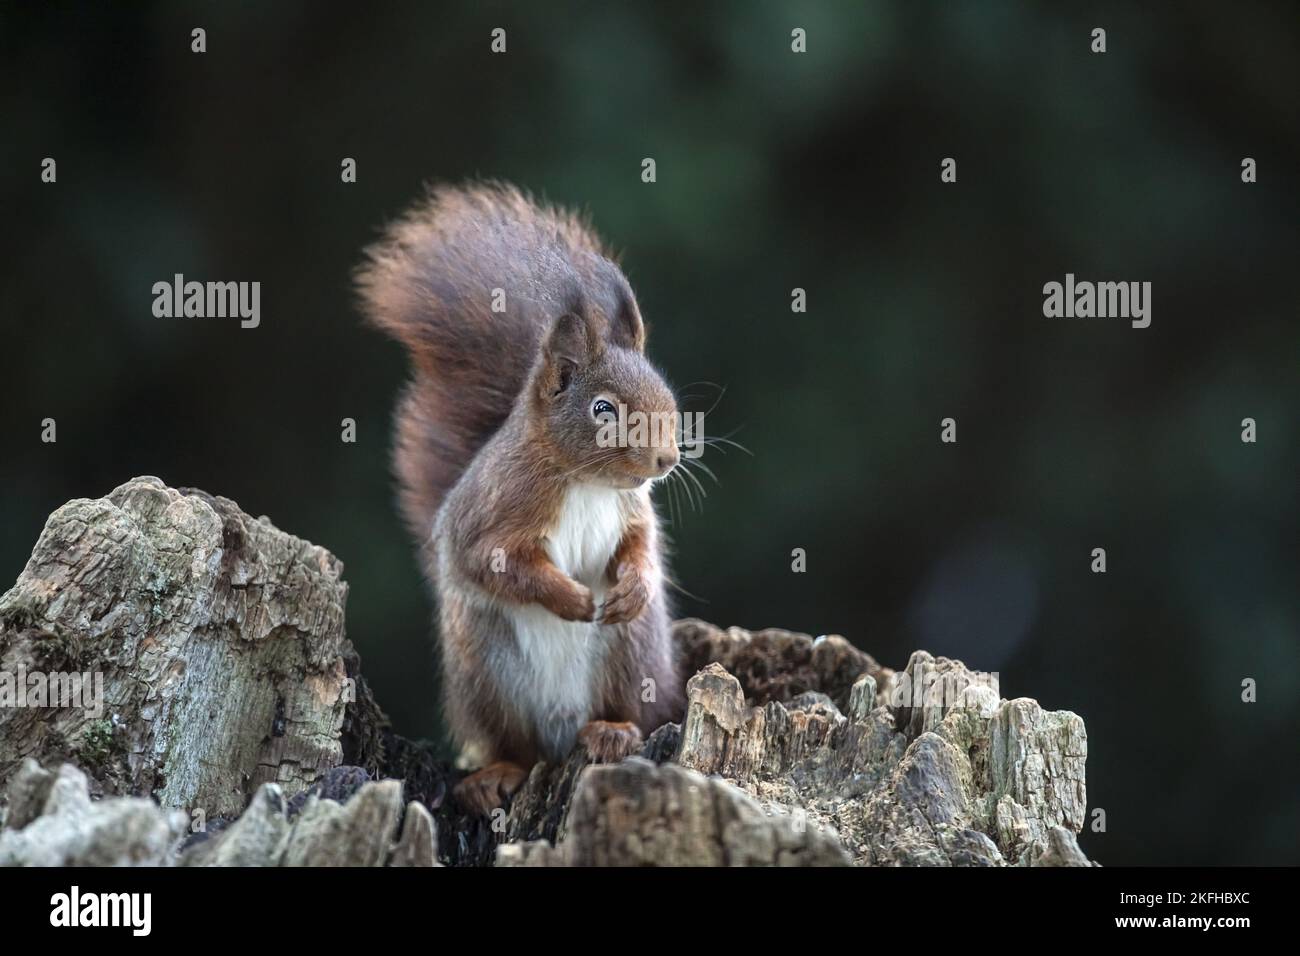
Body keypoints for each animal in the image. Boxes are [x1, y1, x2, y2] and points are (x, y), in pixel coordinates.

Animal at [351, 180, 686, 816]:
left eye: (666, 394)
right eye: (602, 409)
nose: (668, 460)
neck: (581, 479)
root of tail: (561, 734)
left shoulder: (632, 510)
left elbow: (641, 544)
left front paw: (633, 584)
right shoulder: (493, 513)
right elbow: (495, 563)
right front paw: (571, 599)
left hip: (631, 655)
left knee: (630, 709)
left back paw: (612, 730)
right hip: (487, 672)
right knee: (515, 747)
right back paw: (497, 773)